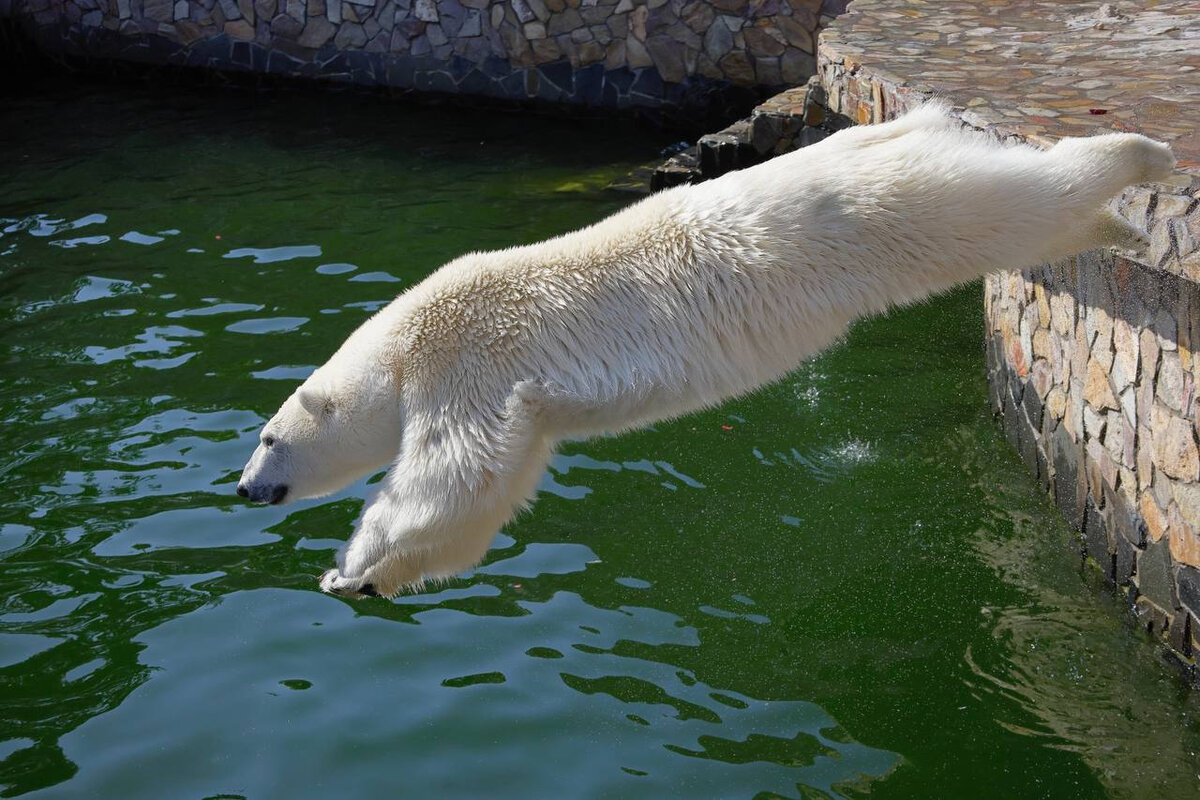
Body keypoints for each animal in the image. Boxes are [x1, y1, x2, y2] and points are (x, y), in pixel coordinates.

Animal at [231, 103, 1171, 597]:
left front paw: (348, 567)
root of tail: (906, 122)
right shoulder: (519, 407)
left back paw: (1141, 155)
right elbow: (492, 492)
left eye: (270, 437)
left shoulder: (469, 360)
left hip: (896, 208)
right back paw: (1119, 226)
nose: (243, 488)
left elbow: (453, 477)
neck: (400, 346)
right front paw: (372, 579)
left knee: (1016, 196)